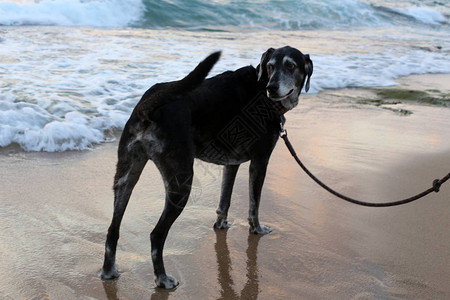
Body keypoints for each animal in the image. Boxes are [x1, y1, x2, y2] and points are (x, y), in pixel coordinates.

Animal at [102, 46, 312, 288]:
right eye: (270, 66)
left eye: (290, 66)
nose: (272, 88)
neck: (260, 87)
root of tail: (148, 105)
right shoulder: (260, 161)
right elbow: (254, 205)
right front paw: (256, 229)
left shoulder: (232, 164)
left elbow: (224, 200)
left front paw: (221, 224)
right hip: (181, 182)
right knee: (156, 235)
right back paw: (162, 278)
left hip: (126, 176)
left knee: (113, 229)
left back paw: (108, 272)